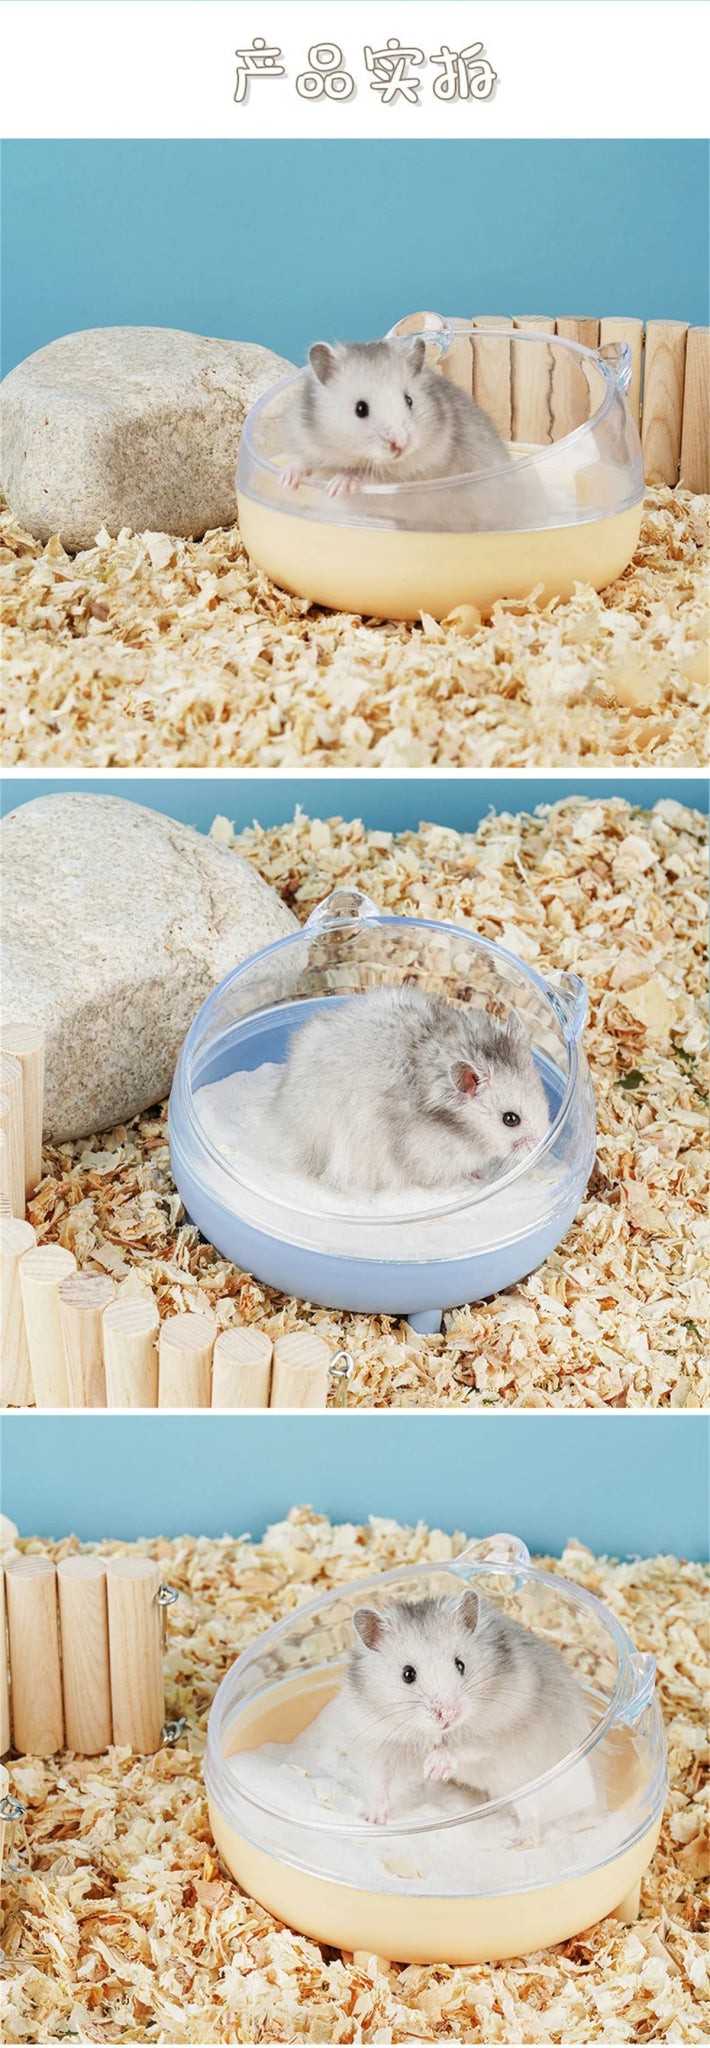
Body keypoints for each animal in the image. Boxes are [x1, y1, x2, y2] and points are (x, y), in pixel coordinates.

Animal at [280, 337, 512, 509]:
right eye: (360, 409)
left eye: (409, 400)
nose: (401, 444)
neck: (354, 456)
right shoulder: (304, 438)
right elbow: (302, 461)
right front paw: (286, 480)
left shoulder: (411, 474)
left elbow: (365, 475)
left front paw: (337, 485)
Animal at [345, 1591, 596, 1829]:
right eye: (408, 1674)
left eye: (460, 1664)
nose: (448, 1715)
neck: (440, 1732)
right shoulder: (380, 1741)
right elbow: (380, 1780)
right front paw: (373, 1819)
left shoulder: (500, 1727)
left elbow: (468, 1746)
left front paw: (434, 1767)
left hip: (532, 1786)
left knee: (535, 1818)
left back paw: (516, 1840)